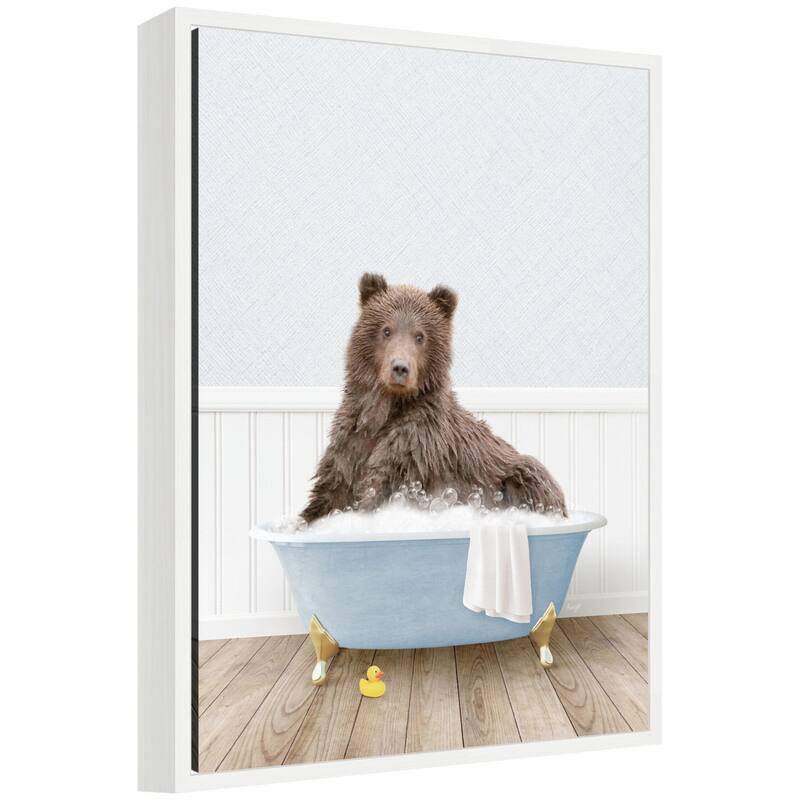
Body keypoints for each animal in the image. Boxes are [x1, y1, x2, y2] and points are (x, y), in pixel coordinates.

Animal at [300, 273, 566, 522]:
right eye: (386, 330)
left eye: (420, 336)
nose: (400, 368)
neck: (386, 409)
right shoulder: (350, 443)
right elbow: (329, 493)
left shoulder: (415, 447)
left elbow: (381, 488)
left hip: (517, 474)